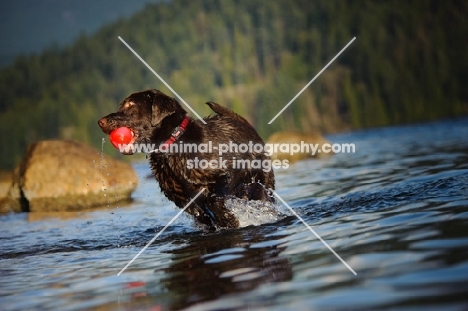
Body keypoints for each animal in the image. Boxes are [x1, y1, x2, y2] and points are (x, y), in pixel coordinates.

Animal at [98, 89, 274, 230]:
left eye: (130, 105)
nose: (100, 122)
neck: (173, 148)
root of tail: (246, 125)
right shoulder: (183, 200)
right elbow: (202, 215)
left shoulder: (227, 174)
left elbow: (213, 200)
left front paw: (229, 220)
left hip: (262, 183)